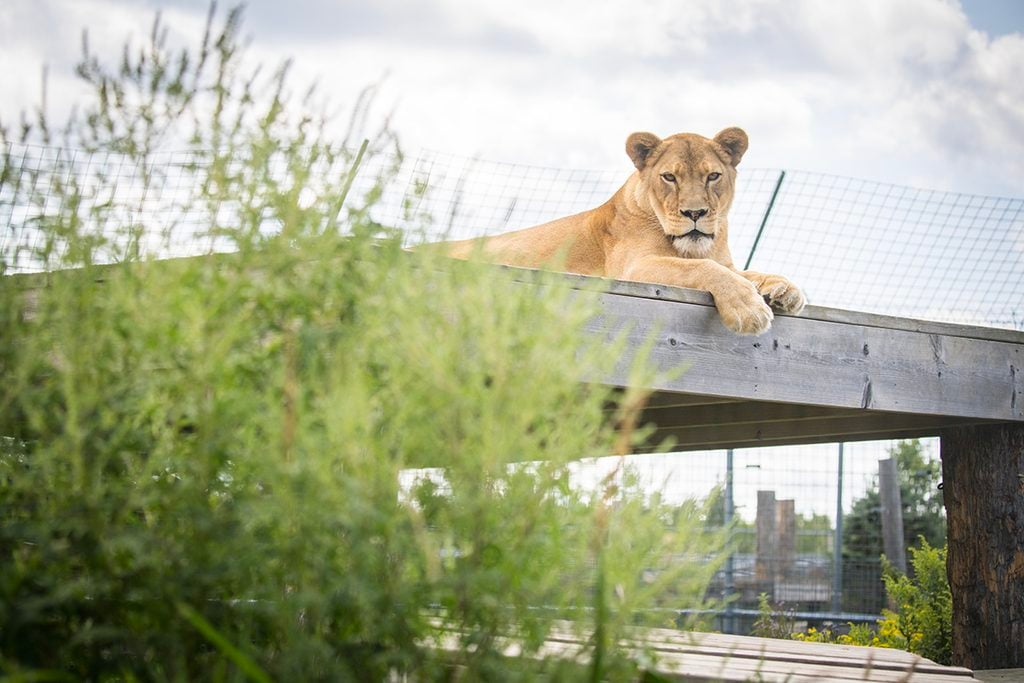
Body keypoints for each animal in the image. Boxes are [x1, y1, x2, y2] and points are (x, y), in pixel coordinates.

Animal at [436, 127, 805, 335]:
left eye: (712, 176)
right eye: (669, 177)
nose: (695, 213)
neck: (694, 245)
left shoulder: (726, 263)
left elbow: (744, 272)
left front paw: (785, 289)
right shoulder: (634, 268)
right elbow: (703, 268)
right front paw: (749, 310)